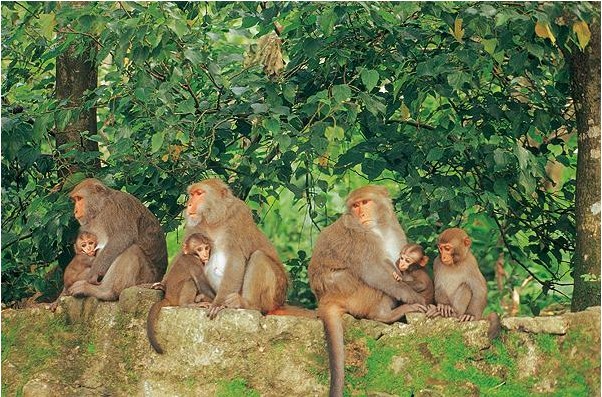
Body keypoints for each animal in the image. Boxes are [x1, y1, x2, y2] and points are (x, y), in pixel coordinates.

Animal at [184, 179, 288, 318]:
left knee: (259, 257)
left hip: (275, 295)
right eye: (191, 194)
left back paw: (248, 304)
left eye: (199, 193)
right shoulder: (194, 227)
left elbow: (235, 260)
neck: (215, 220)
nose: (189, 204)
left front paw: (218, 302)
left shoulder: (239, 216)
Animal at [310, 186, 426, 396]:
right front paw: (413, 296)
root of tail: (325, 299)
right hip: (352, 292)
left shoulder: (395, 230)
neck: (379, 228)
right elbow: (374, 272)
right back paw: (383, 315)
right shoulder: (356, 232)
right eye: (355, 206)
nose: (361, 214)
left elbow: (396, 267)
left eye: (364, 203)